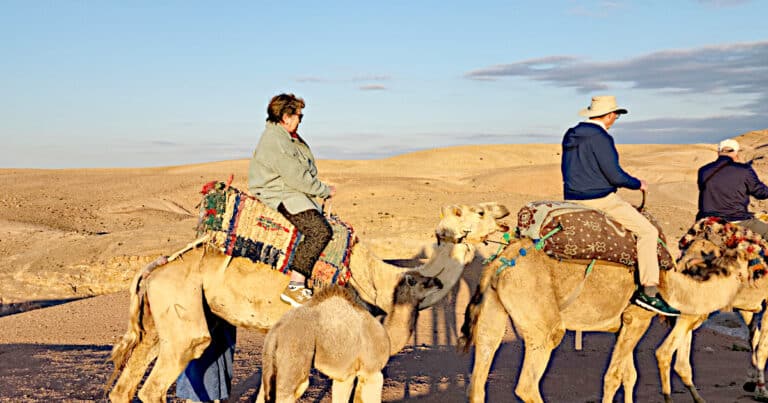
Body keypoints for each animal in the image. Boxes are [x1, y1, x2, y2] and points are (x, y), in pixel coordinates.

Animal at [258, 272, 444, 403]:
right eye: (423, 282)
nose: (439, 282)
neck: (387, 335)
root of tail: (276, 333)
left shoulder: (345, 376)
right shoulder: (373, 372)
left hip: (270, 363)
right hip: (294, 362)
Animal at [444, 204, 756, 403]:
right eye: (755, 269)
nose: (756, 307)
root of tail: (500, 261)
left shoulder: (624, 325)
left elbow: (628, 376)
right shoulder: (638, 317)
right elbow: (613, 377)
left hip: (492, 311)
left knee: (479, 377)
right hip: (540, 318)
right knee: (527, 384)